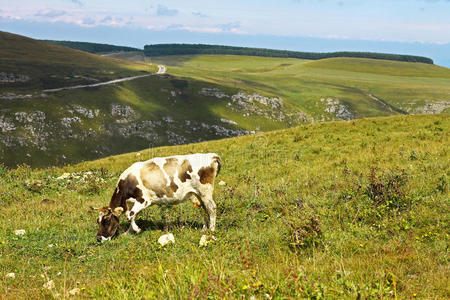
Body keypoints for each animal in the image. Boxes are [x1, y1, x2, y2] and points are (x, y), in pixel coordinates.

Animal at [90, 154, 221, 243]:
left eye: (106, 221)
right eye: (98, 221)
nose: (98, 238)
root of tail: (213, 156)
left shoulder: (143, 200)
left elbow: (130, 216)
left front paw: (137, 230)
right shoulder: (132, 203)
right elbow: (132, 216)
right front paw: (128, 232)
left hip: (205, 191)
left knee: (211, 208)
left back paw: (212, 229)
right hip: (199, 194)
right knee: (204, 209)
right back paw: (204, 228)